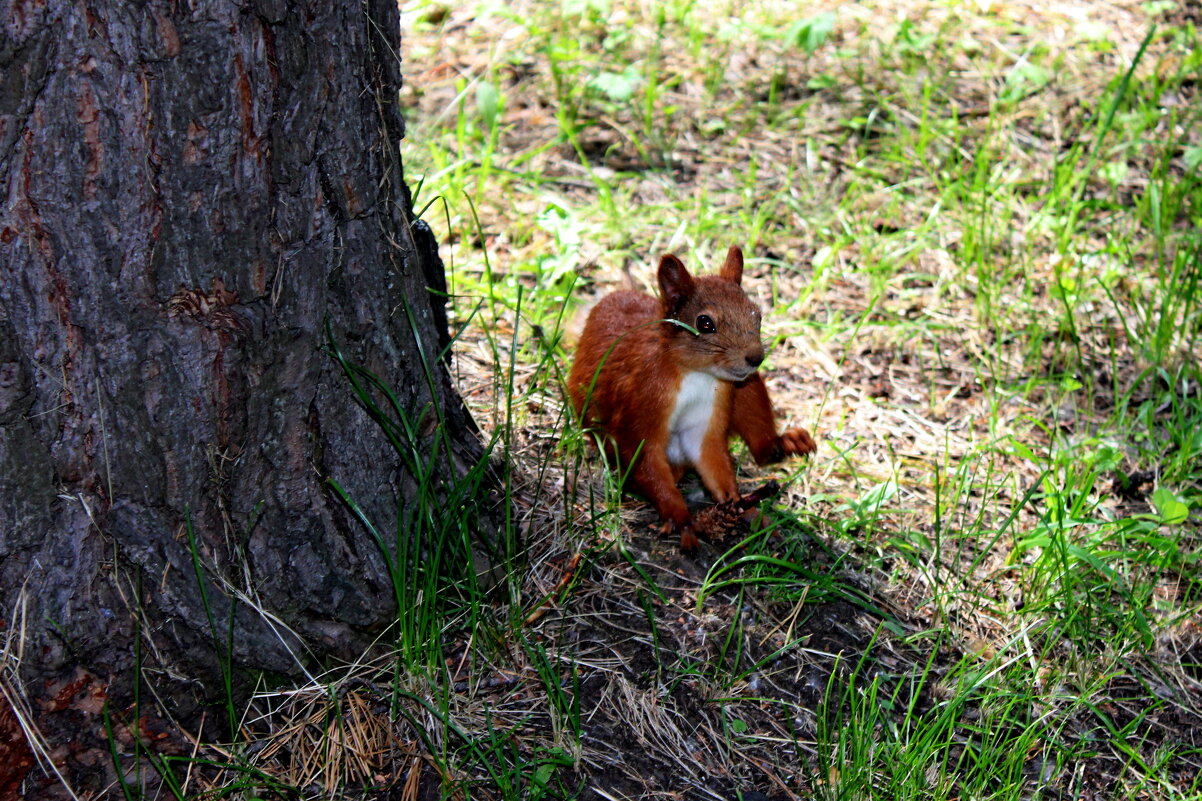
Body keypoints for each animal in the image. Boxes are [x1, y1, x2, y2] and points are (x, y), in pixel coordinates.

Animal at [564, 246, 817, 548]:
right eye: (704, 323)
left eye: (757, 315)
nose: (756, 358)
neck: (696, 374)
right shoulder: (641, 402)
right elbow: (643, 456)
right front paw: (681, 518)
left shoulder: (711, 410)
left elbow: (711, 457)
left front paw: (735, 503)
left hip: (748, 387)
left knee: (761, 442)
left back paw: (780, 450)